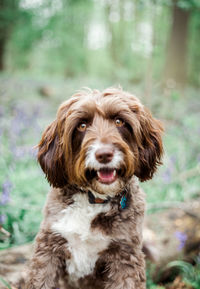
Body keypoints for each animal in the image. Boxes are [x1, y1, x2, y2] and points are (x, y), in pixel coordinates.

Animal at [24, 87, 162, 288]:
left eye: (119, 121)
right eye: (82, 126)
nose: (104, 154)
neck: (93, 199)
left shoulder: (125, 255)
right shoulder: (49, 248)